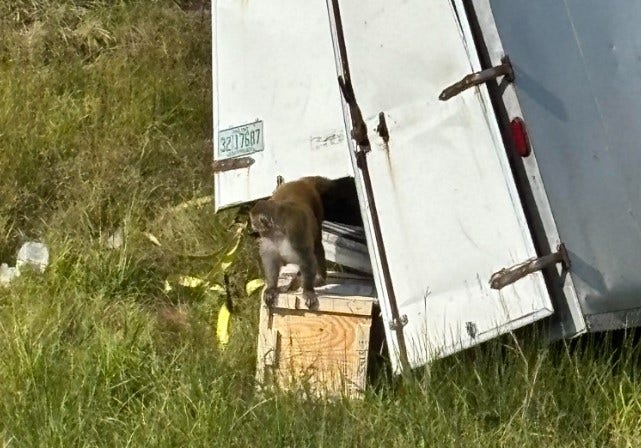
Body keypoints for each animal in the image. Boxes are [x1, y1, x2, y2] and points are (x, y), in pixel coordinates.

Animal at [249, 176, 333, 309]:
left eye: (255, 224)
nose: (258, 233)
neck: (278, 231)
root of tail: (301, 181)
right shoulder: (270, 240)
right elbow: (271, 259)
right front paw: (271, 288)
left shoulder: (295, 230)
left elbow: (306, 257)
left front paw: (308, 290)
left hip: (317, 206)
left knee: (317, 245)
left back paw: (319, 278)